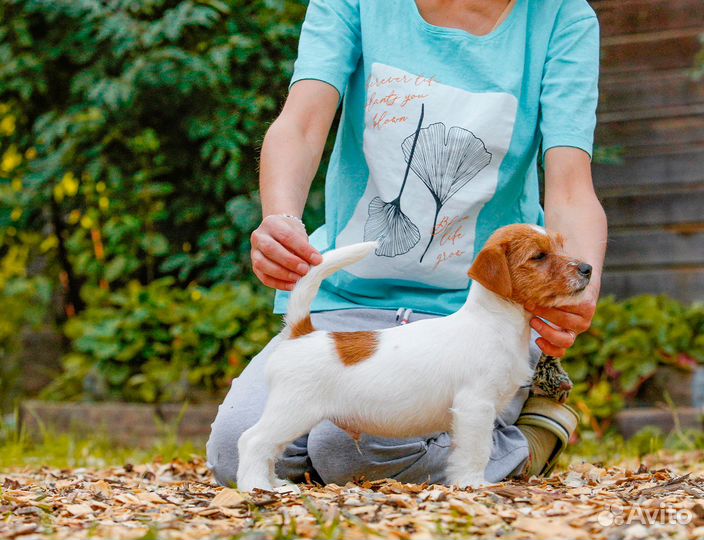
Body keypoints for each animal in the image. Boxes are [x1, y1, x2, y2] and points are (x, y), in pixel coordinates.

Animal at [238, 221, 592, 492]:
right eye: (539, 256)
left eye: (560, 246)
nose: (588, 268)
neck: (495, 321)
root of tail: (302, 332)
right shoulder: (476, 406)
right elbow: (478, 449)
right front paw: (473, 483)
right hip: (292, 411)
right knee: (252, 441)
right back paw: (256, 487)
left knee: (268, 449)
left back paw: (275, 483)